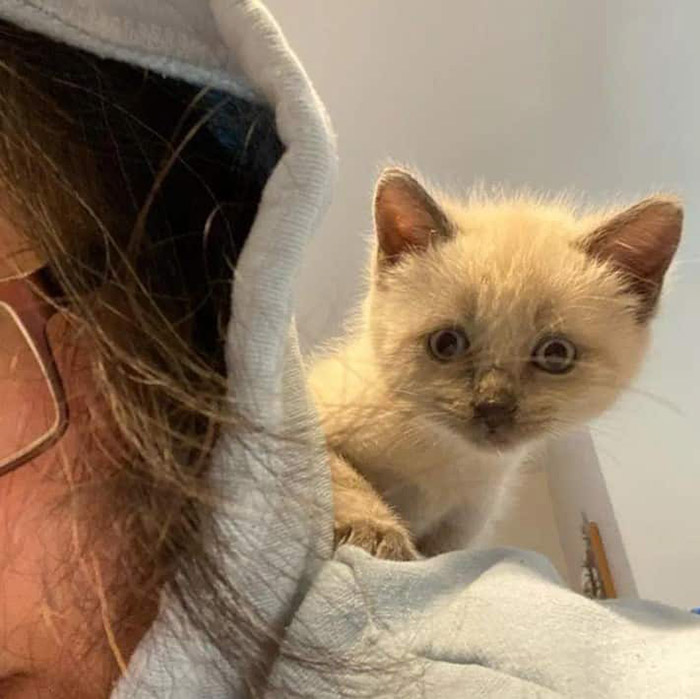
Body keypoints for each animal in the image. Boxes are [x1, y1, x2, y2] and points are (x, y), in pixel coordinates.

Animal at [310, 167, 682, 559]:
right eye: (446, 343)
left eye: (556, 354)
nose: (493, 406)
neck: (450, 461)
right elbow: (339, 475)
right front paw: (378, 534)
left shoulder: (460, 529)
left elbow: (441, 554)